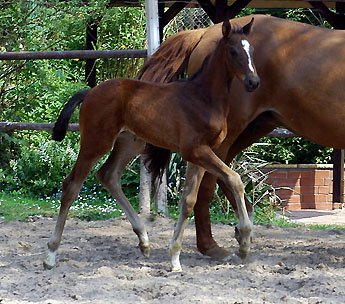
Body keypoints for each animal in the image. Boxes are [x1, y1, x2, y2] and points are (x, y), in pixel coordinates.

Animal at [43, 19, 258, 270]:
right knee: (71, 186)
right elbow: (235, 179)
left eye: (251, 49)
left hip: (130, 143)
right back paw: (50, 255)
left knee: (108, 175)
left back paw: (144, 240)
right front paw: (244, 243)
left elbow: (188, 201)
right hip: (96, 142)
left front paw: (174, 257)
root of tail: (90, 92)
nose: (254, 82)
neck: (203, 98)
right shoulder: (194, 151)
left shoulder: (200, 154)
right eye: (233, 51)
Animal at [138, 14, 345, 260]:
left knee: (224, 174)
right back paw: (213, 246)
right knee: (209, 184)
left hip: (253, 127)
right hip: (229, 133)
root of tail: (204, 32)